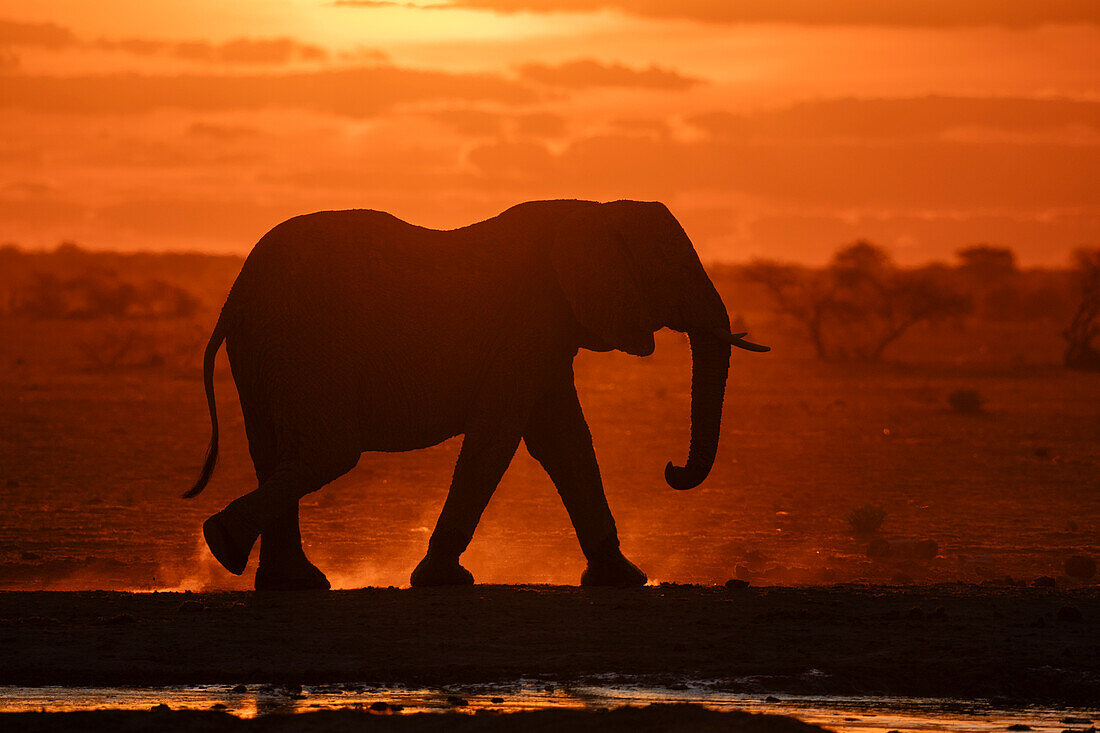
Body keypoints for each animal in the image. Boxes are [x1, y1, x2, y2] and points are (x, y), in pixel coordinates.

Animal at [182, 200, 765, 589]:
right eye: (675, 267)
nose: (671, 469)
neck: (595, 209)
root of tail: (234, 294)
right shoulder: (531, 317)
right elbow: (501, 434)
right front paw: (442, 580)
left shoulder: (547, 329)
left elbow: (564, 440)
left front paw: (623, 578)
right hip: (303, 342)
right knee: (327, 452)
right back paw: (224, 544)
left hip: (265, 349)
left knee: (276, 451)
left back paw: (283, 579)